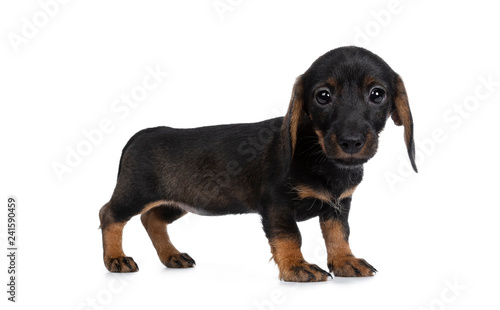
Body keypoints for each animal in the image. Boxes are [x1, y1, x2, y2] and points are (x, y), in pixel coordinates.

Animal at [99, 45, 416, 280]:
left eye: (377, 94)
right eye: (323, 96)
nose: (351, 142)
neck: (320, 155)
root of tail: (142, 134)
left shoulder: (338, 205)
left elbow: (339, 235)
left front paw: (344, 261)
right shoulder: (277, 204)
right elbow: (289, 236)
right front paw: (296, 266)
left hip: (177, 202)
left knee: (152, 219)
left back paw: (171, 255)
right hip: (136, 193)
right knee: (109, 215)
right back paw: (116, 258)